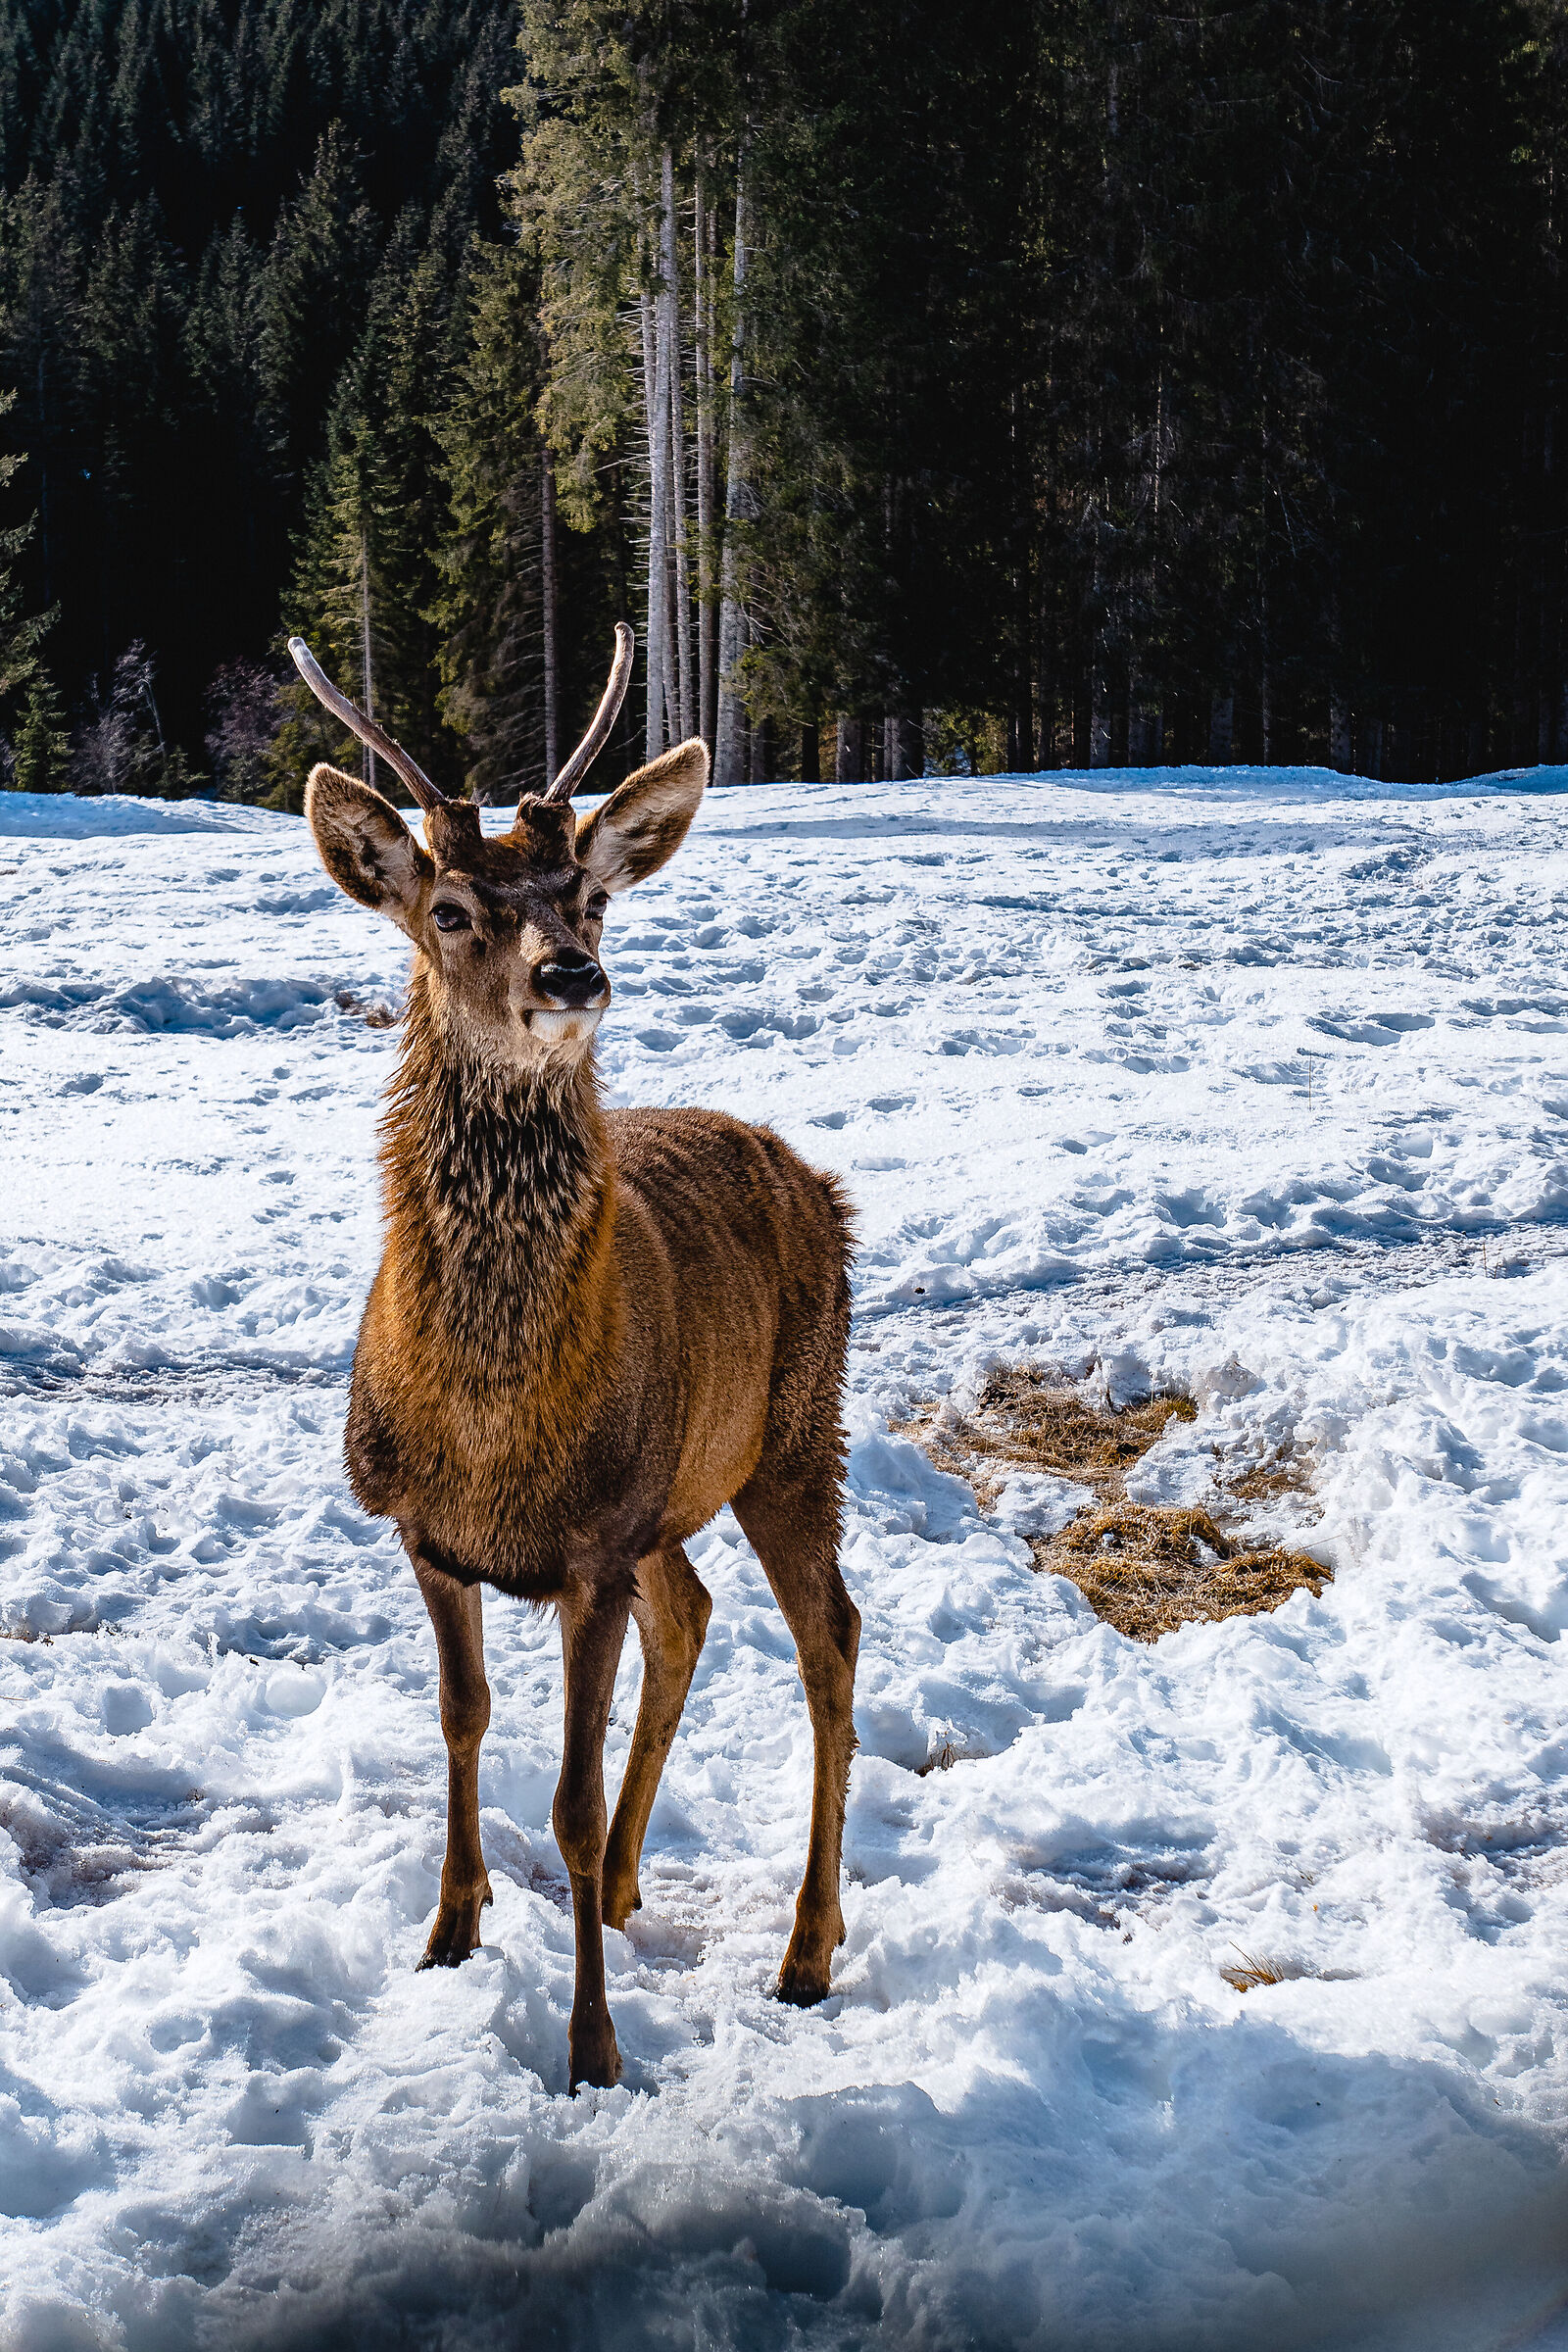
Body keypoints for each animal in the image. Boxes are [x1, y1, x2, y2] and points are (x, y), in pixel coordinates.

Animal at [286, 625, 859, 2091]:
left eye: (587, 898)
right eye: (449, 910)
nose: (570, 976)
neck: (491, 1431)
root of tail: (810, 1178)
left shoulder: (593, 1548)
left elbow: (572, 1799)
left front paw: (592, 2045)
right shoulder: (430, 1537)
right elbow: (464, 1722)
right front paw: (449, 1932)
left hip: (794, 1436)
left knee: (829, 1639)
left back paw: (807, 1949)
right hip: (678, 1496)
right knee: (696, 1614)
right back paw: (634, 1892)